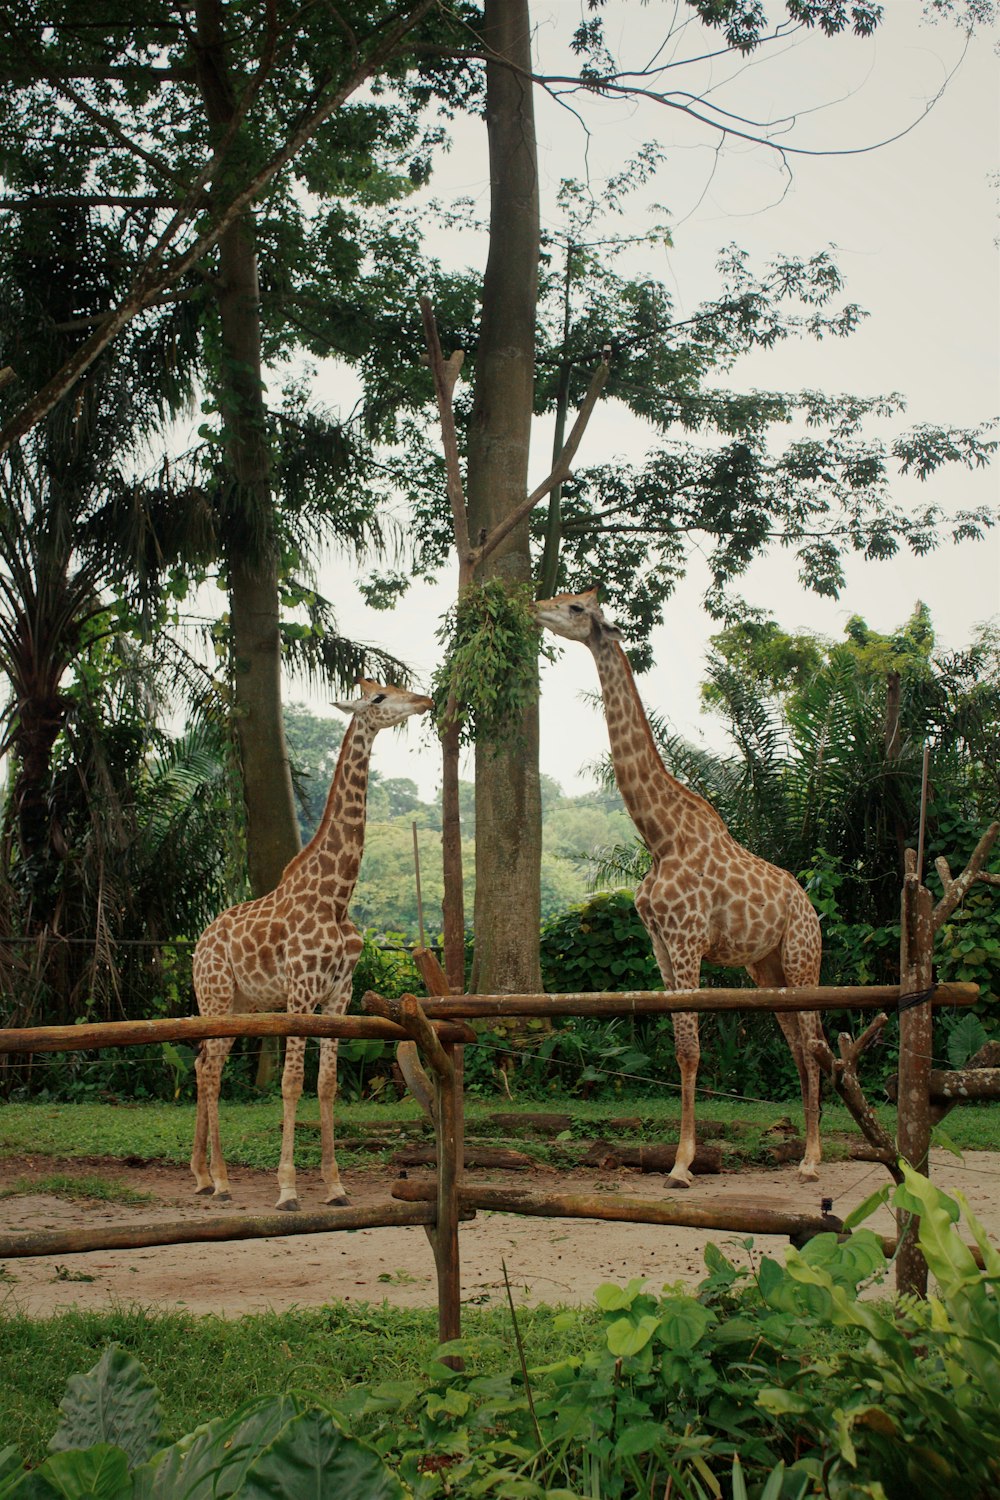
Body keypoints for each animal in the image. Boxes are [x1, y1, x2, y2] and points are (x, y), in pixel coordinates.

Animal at [191, 681, 434, 1206]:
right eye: (378, 697)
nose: (423, 700)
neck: (337, 897)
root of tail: (199, 944)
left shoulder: (339, 994)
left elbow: (325, 1084)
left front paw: (335, 1184)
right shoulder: (300, 991)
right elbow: (290, 1083)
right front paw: (287, 1188)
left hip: (241, 1004)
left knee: (203, 1063)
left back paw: (201, 1175)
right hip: (214, 995)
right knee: (211, 1069)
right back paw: (221, 1181)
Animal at [536, 591, 827, 1188]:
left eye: (576, 607)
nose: (534, 607)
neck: (660, 837)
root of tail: (809, 907)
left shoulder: (688, 938)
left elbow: (692, 1049)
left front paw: (682, 1164)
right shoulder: (661, 946)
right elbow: (677, 1047)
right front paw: (680, 1157)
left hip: (801, 957)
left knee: (812, 1043)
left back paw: (812, 1161)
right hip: (766, 967)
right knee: (795, 1042)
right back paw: (806, 1153)